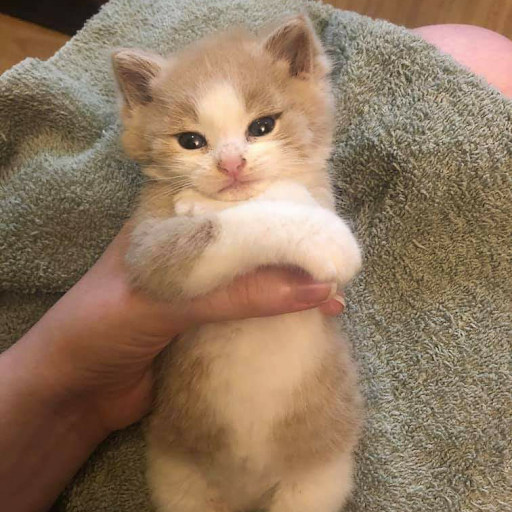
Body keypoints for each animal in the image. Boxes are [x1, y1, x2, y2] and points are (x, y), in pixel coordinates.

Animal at [112, 15, 363, 512]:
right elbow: (220, 229)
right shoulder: (147, 250)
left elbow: (295, 193)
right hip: (179, 480)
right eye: (191, 141)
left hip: (317, 479)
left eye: (262, 127)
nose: (231, 164)